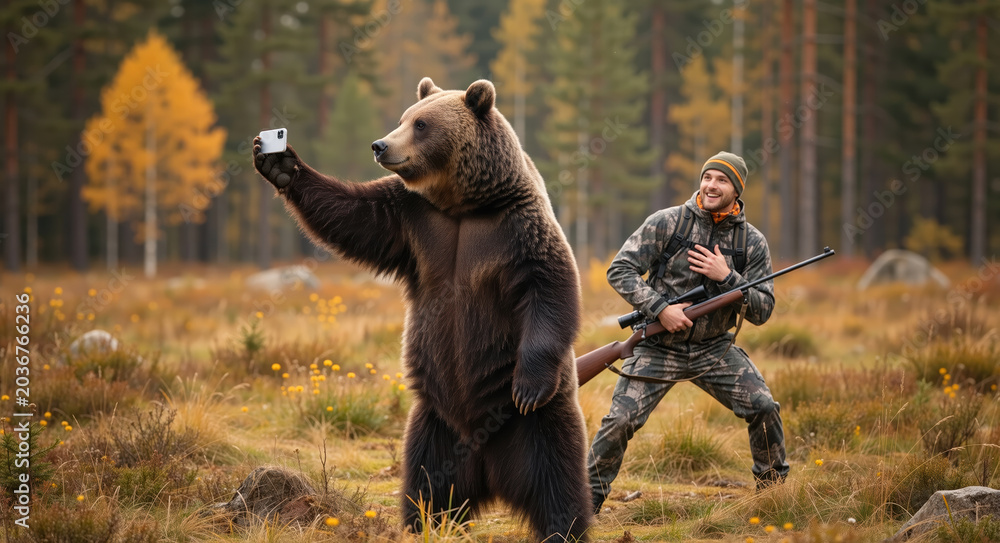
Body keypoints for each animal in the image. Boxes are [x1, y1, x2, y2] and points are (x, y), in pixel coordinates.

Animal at [252, 77, 592, 541]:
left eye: (422, 124)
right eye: (404, 118)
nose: (380, 145)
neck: (463, 205)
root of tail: (489, 467)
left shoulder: (516, 228)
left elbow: (551, 286)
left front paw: (529, 383)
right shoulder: (413, 220)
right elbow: (352, 215)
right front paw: (280, 164)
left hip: (534, 424)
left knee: (555, 475)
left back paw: (564, 526)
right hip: (434, 421)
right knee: (428, 480)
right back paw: (424, 521)